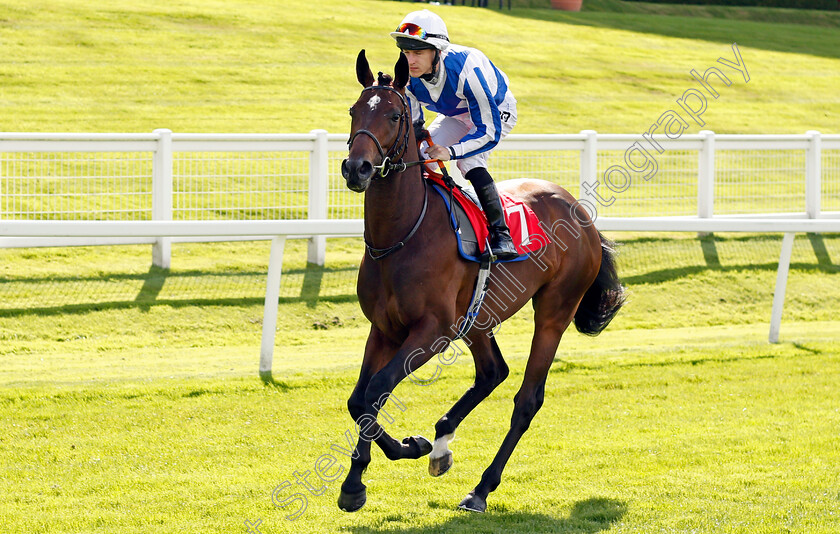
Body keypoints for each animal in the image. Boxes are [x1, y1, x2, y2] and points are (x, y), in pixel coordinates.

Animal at [336, 50, 624, 516]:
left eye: (395, 115)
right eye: (353, 110)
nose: (357, 168)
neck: (402, 235)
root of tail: (579, 211)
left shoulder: (431, 332)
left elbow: (376, 390)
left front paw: (409, 447)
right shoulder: (383, 329)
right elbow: (361, 399)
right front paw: (355, 483)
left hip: (554, 312)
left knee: (527, 400)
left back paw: (480, 488)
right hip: (478, 317)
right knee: (492, 372)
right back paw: (442, 443)